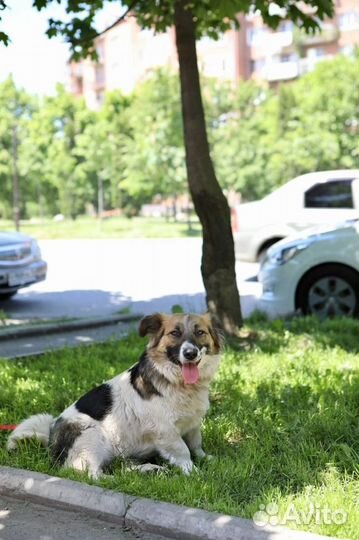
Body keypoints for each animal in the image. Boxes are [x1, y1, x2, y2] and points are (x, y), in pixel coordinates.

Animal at [7, 312, 222, 476]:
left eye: (200, 332)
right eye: (175, 333)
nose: (190, 353)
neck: (177, 382)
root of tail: (51, 434)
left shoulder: (192, 424)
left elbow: (196, 444)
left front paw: (207, 459)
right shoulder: (165, 430)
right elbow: (183, 450)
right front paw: (193, 472)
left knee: (120, 467)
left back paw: (149, 469)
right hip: (92, 437)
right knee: (91, 474)